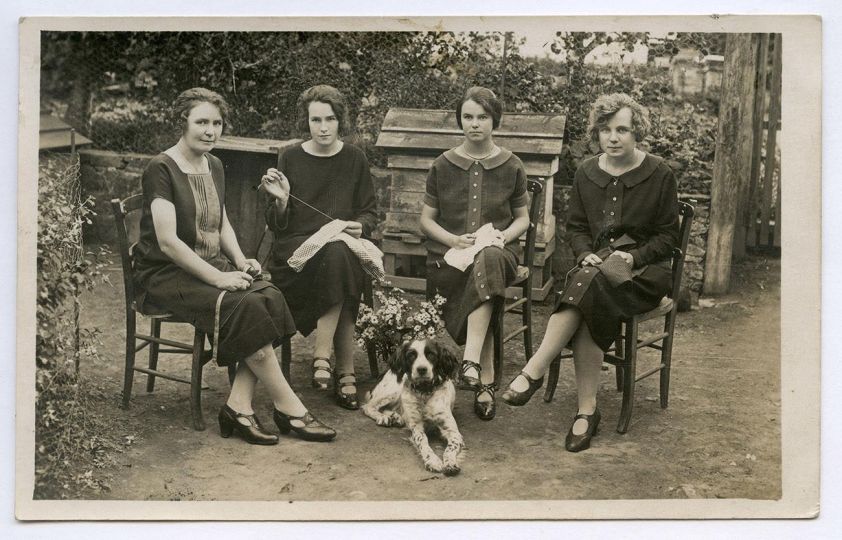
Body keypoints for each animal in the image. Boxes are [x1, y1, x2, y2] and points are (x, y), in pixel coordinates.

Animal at [362, 340, 466, 474]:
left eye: (431, 354)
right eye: (411, 355)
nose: (421, 369)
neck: (424, 391)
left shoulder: (453, 431)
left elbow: (450, 448)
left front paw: (450, 463)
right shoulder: (417, 428)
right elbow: (424, 443)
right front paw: (433, 460)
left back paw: (396, 417)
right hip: (393, 391)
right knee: (368, 406)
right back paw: (383, 417)